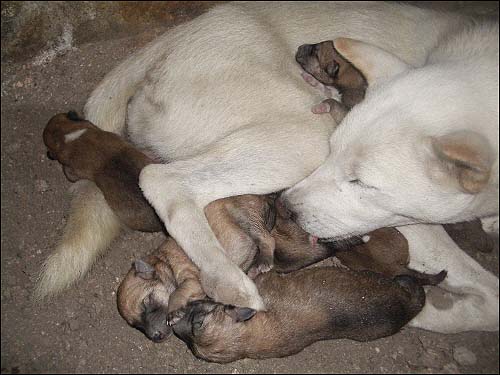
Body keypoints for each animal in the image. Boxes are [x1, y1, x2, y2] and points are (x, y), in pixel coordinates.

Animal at [37, 0, 498, 334]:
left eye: (361, 182)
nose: (286, 210)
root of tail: (170, 39)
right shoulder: (396, 215)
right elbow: (491, 298)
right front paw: (414, 308)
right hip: (305, 136)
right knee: (161, 179)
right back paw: (230, 281)